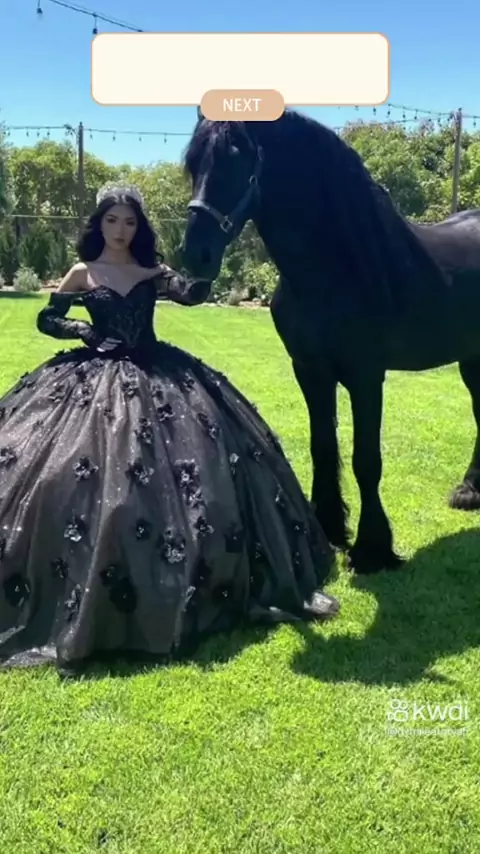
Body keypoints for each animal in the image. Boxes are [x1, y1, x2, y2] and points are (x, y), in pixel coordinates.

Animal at [179, 109, 480, 574]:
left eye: (236, 159)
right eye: (193, 164)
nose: (196, 255)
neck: (335, 268)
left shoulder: (366, 376)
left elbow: (365, 460)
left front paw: (373, 550)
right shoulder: (311, 371)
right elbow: (323, 448)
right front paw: (330, 530)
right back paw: (469, 491)